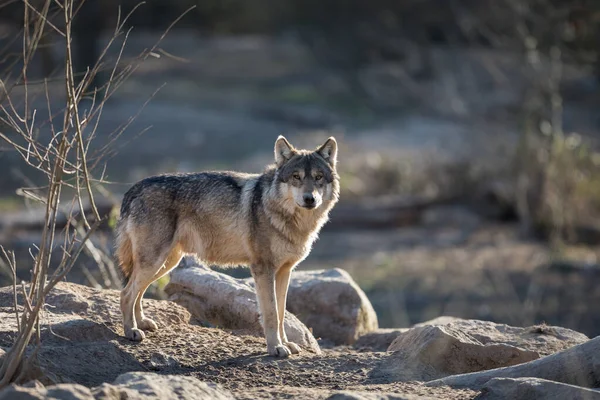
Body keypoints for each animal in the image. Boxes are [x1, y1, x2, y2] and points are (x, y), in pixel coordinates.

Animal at [115, 136, 340, 358]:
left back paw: (142, 323)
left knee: (137, 292)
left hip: (165, 263)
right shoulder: (263, 269)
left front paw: (286, 343)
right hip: (155, 262)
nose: (310, 199)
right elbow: (271, 313)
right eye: (296, 177)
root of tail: (135, 187)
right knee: (126, 294)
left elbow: (281, 313)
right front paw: (275, 347)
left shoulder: (284, 271)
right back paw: (131, 331)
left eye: (318, 177)